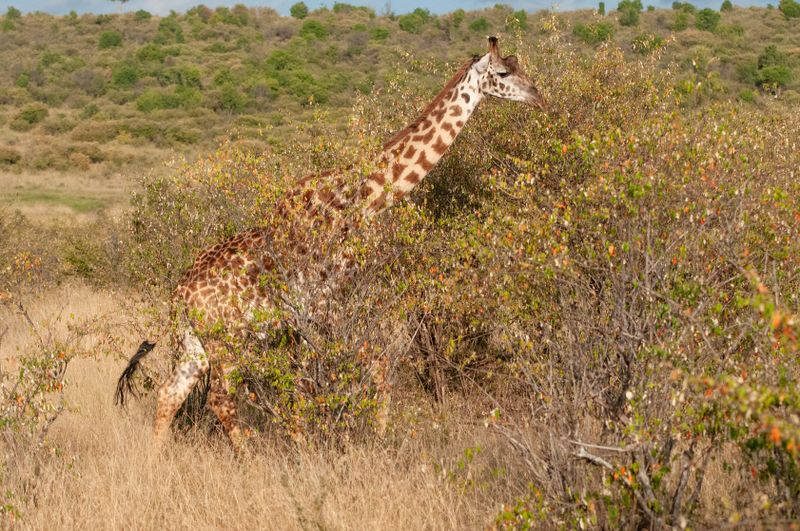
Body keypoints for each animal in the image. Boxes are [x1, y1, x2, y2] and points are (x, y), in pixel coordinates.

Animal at [115, 37, 548, 454]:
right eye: (504, 72)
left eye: (520, 65)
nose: (539, 97)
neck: (362, 200)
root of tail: (179, 295)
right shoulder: (326, 303)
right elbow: (356, 371)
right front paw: (364, 440)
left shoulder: (320, 310)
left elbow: (321, 379)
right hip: (228, 338)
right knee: (219, 398)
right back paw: (248, 456)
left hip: (197, 341)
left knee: (169, 394)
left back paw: (158, 461)